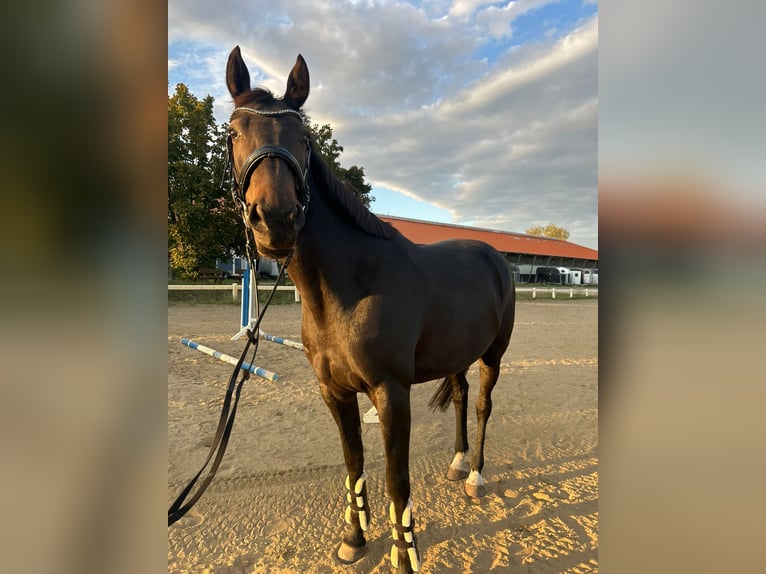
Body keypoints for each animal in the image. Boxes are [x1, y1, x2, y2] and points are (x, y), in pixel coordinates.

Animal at [225, 46, 515, 573]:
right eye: (235, 131)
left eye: (304, 138)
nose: (275, 220)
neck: (348, 289)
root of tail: (496, 257)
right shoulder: (334, 393)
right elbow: (354, 462)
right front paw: (354, 539)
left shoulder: (391, 393)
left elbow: (397, 480)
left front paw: (405, 556)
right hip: (458, 353)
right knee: (461, 397)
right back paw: (458, 462)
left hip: (493, 354)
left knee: (483, 404)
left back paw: (476, 476)